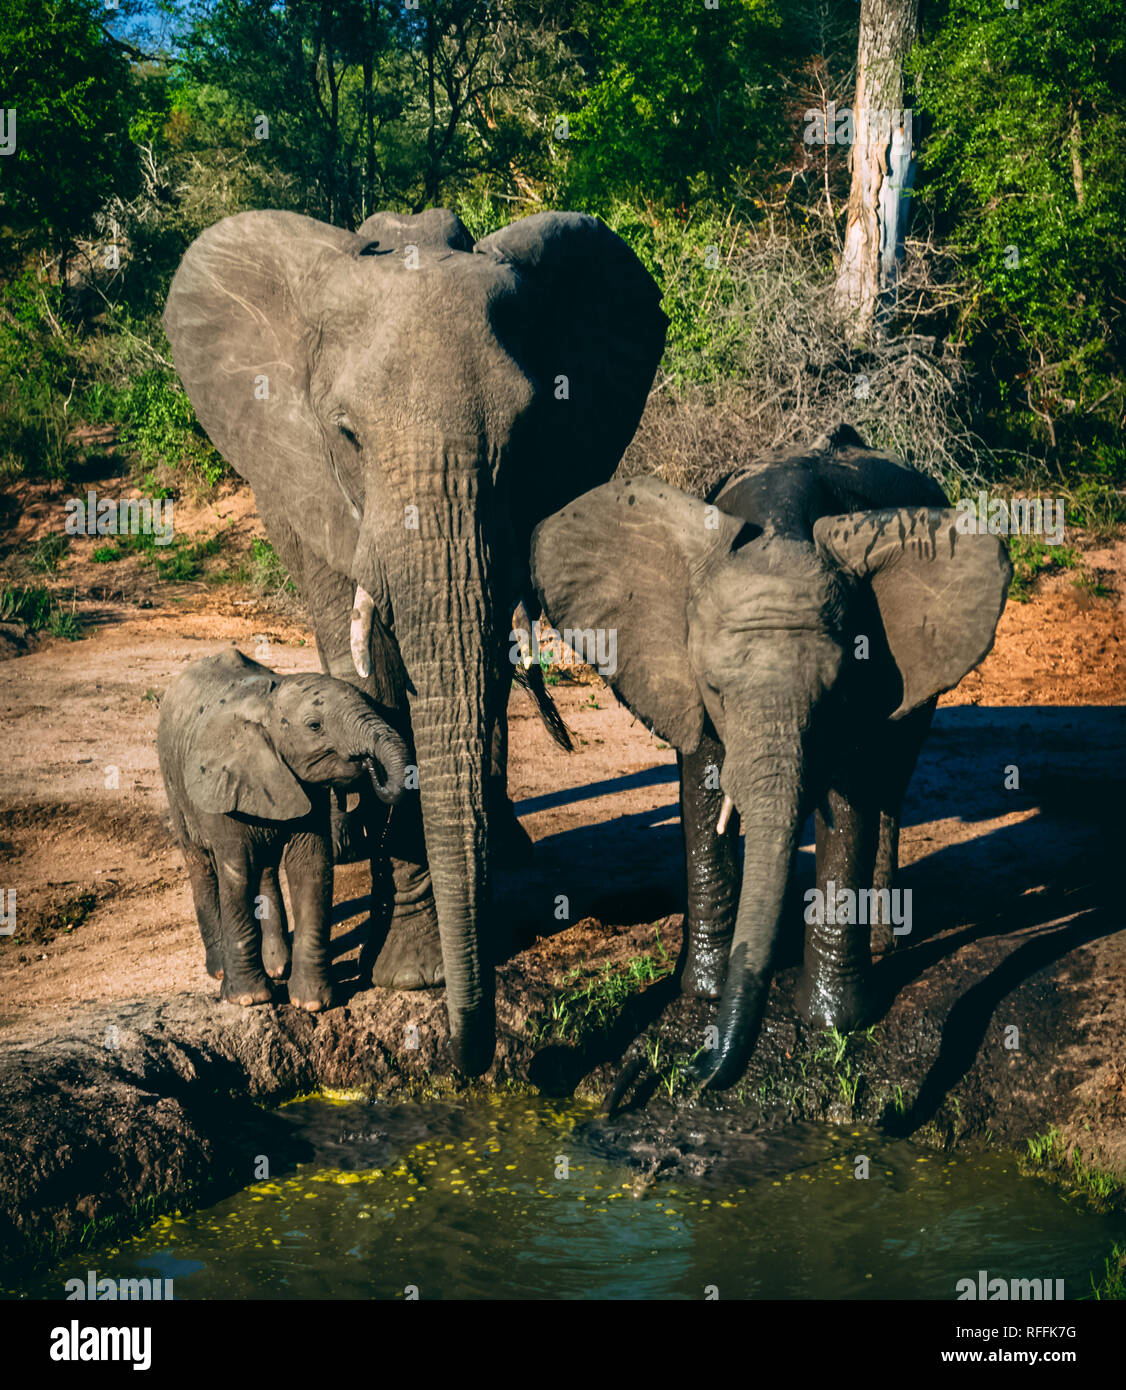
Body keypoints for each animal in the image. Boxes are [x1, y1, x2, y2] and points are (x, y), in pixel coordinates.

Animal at [155, 650, 405, 1011]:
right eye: (314, 725)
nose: (369, 765)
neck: (266, 706)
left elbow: (310, 868)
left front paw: (313, 1002)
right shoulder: (225, 785)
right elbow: (237, 872)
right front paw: (248, 999)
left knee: (267, 868)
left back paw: (277, 967)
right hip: (173, 779)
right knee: (200, 862)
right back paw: (219, 971)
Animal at [531, 428, 1012, 1089]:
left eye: (834, 695)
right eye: (715, 689)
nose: (691, 1071)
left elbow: (849, 806)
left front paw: (834, 1022)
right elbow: (702, 788)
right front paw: (704, 993)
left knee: (893, 780)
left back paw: (885, 940)